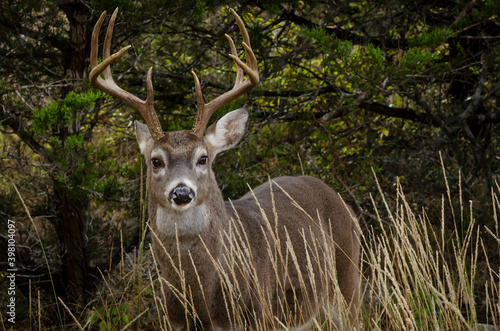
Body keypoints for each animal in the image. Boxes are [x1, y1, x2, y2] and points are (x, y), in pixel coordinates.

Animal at [91, 8, 360, 331]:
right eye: (155, 160)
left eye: (203, 158)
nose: (182, 192)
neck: (202, 298)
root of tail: (335, 196)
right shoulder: (175, 321)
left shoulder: (259, 315)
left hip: (347, 279)